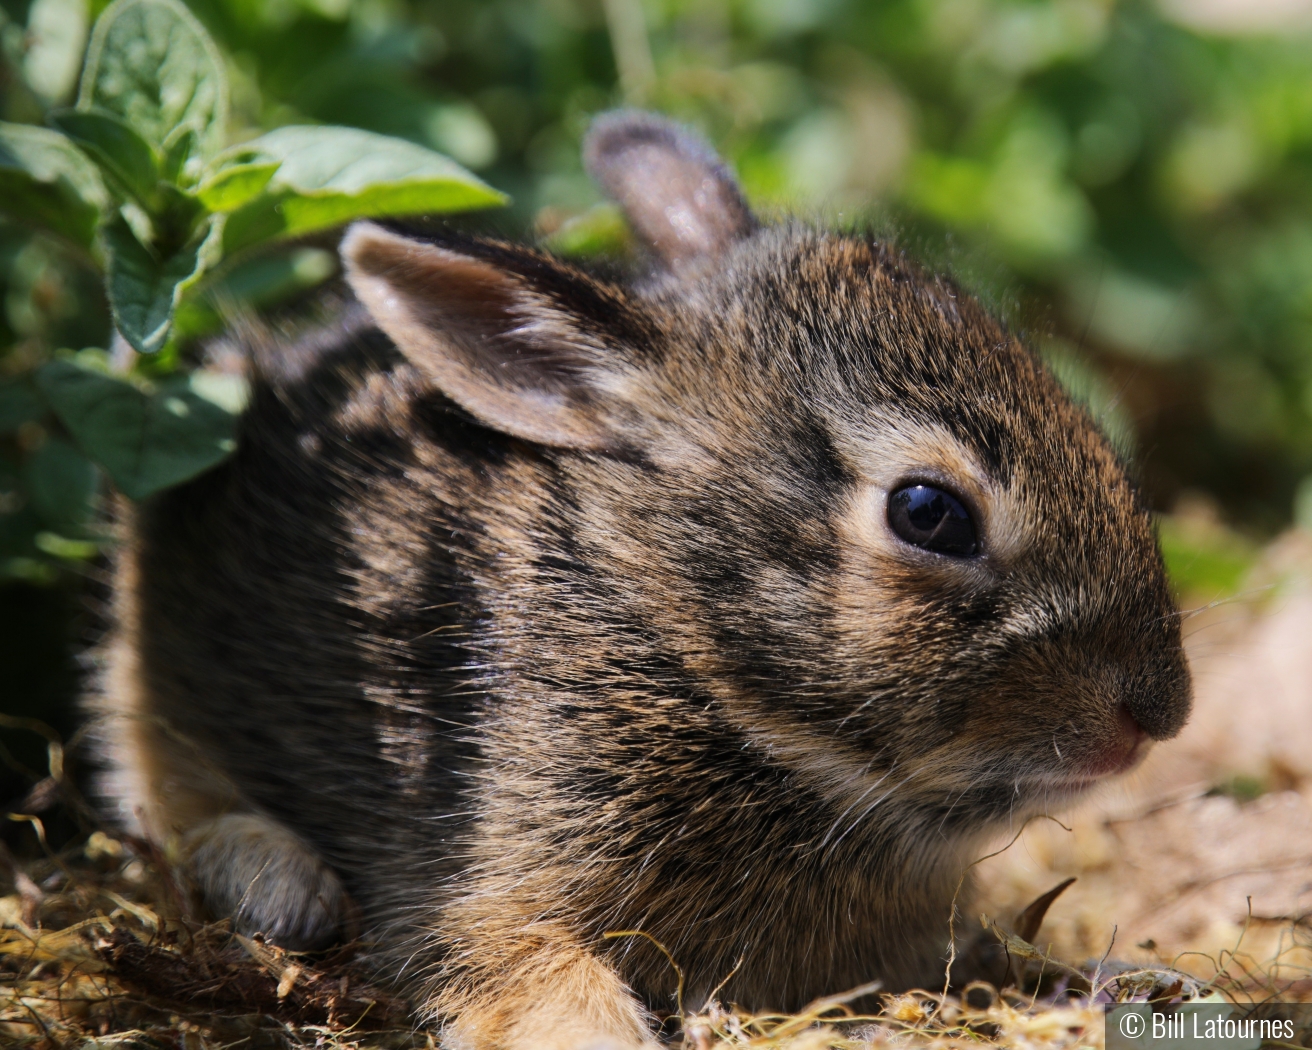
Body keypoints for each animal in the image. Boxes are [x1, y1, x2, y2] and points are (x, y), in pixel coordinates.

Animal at [92, 114, 1191, 1050]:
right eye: (929, 513)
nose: (1159, 714)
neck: (670, 638)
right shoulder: (482, 889)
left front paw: (1132, 981)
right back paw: (275, 877)